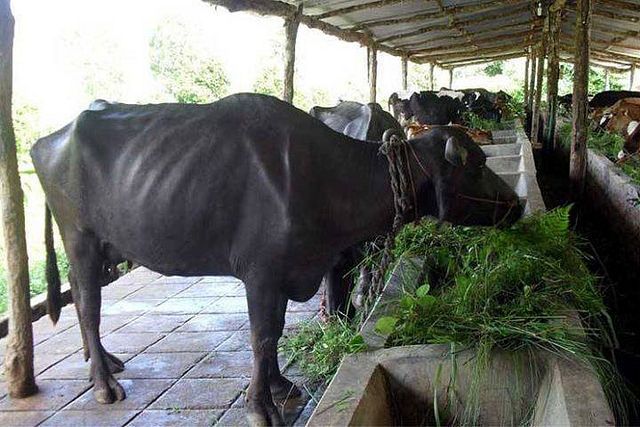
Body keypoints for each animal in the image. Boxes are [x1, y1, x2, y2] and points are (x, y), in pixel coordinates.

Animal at [32, 94, 524, 427]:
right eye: (478, 163)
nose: (518, 204)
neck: (325, 178)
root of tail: (51, 138)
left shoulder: (292, 270)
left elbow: (278, 330)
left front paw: (279, 385)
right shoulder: (262, 274)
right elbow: (262, 335)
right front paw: (261, 406)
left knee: (84, 301)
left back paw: (105, 361)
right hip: (79, 238)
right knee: (88, 306)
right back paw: (103, 384)